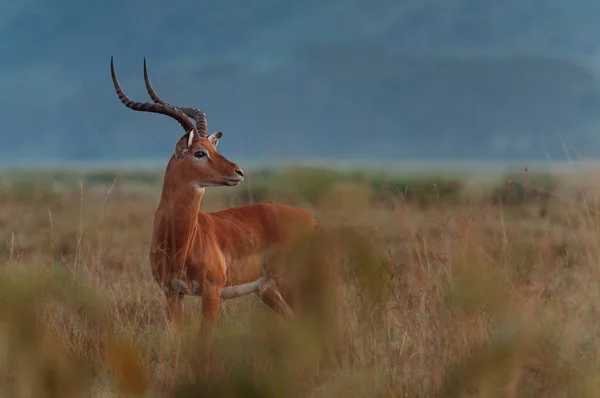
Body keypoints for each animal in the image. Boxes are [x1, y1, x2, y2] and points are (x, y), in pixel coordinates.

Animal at [111, 56, 318, 364]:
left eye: (212, 147)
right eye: (200, 152)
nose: (238, 172)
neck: (180, 242)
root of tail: (311, 219)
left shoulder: (211, 292)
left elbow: (204, 344)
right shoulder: (172, 293)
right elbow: (179, 343)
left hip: (295, 282)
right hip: (269, 290)